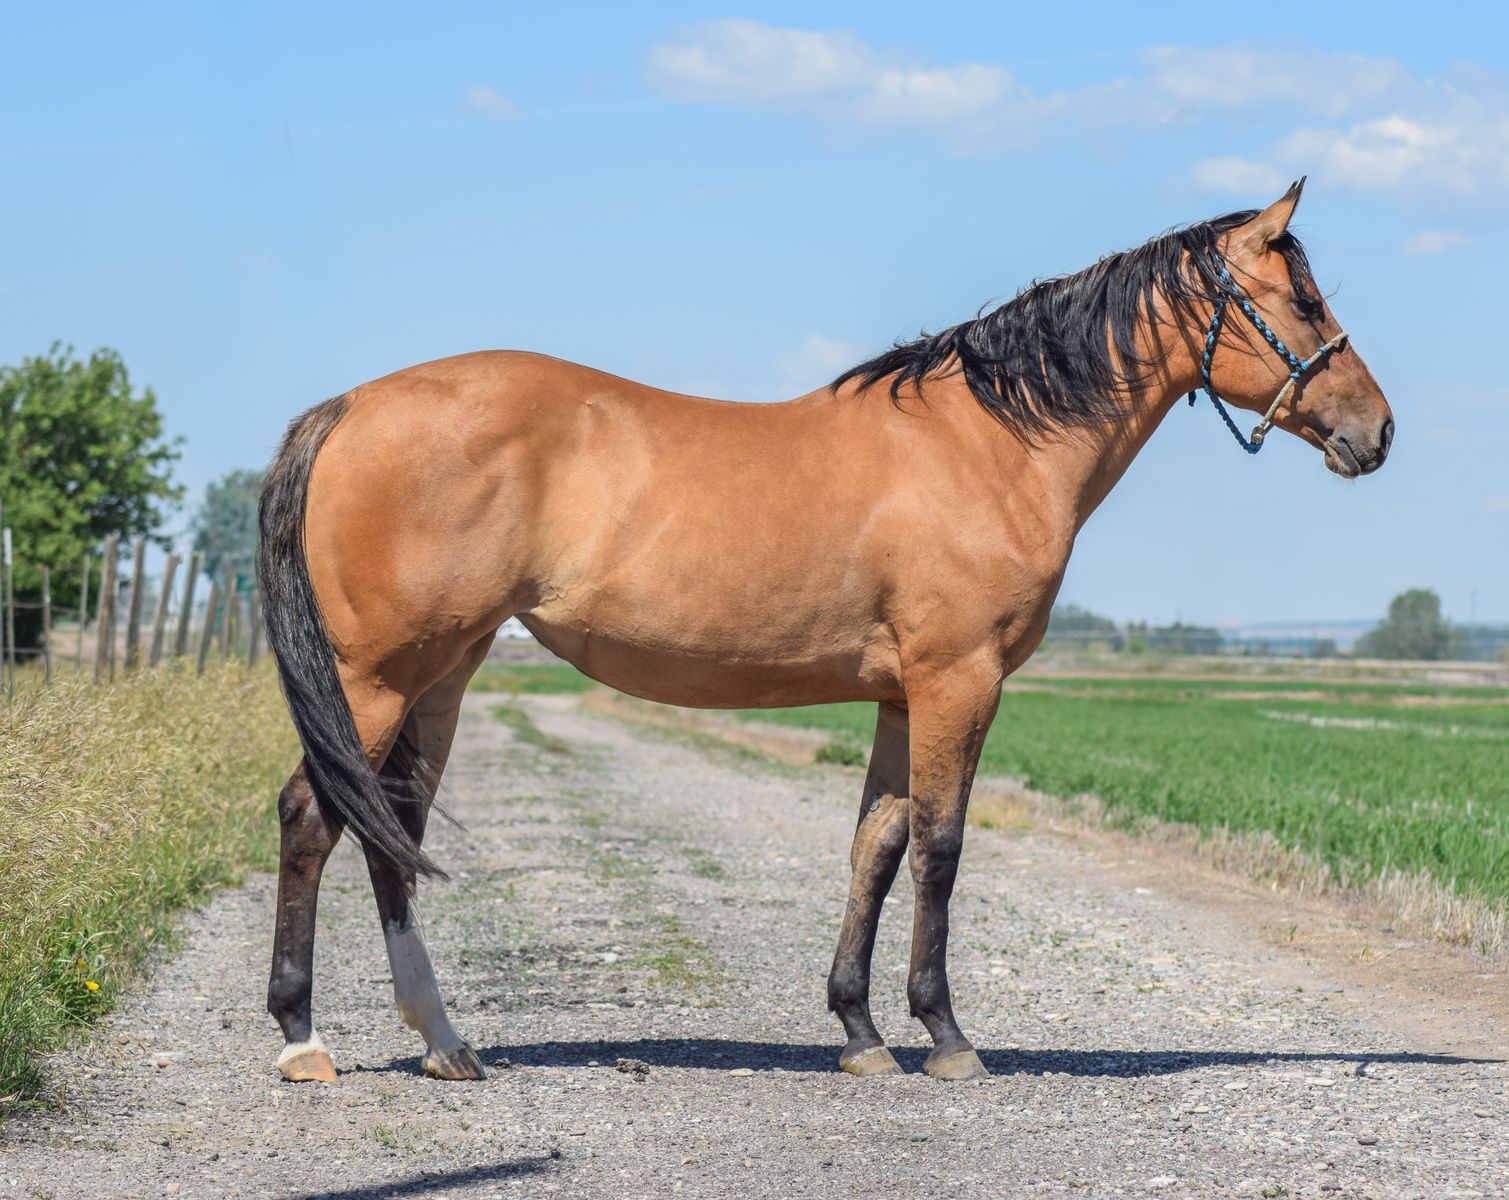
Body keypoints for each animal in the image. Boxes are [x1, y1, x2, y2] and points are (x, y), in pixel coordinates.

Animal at [258, 180, 1392, 1085]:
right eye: (1304, 299)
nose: (1376, 431)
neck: (988, 444)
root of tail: (349, 406)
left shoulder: (898, 695)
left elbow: (874, 846)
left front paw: (859, 1030)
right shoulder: (958, 681)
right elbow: (939, 845)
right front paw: (946, 1036)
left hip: (444, 672)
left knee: (392, 828)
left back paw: (444, 1041)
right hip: (378, 676)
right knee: (315, 819)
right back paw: (303, 1039)